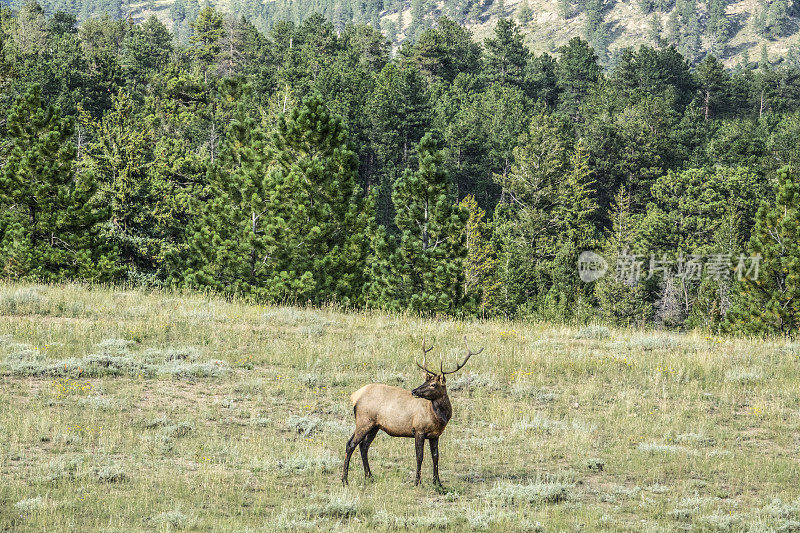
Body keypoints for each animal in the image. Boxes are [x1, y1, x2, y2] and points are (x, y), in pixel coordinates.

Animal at [342, 336, 484, 486]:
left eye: (433, 384)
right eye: (426, 381)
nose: (414, 391)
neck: (439, 417)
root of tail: (355, 396)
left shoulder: (435, 435)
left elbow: (435, 457)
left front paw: (438, 482)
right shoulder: (419, 429)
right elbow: (419, 456)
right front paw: (417, 482)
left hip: (375, 426)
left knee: (364, 446)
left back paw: (369, 477)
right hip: (364, 421)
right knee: (350, 444)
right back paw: (345, 479)